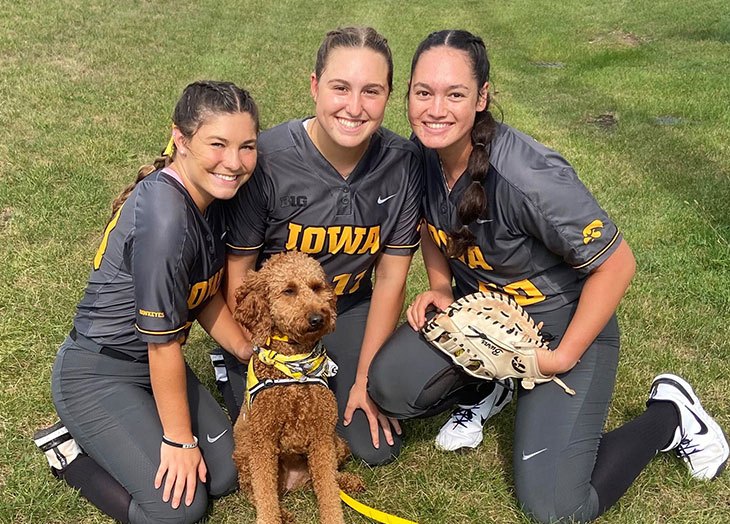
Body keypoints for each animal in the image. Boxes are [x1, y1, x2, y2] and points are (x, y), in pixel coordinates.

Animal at [233, 252, 362, 520]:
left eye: (316, 287)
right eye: (288, 290)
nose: (318, 318)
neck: (294, 372)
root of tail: (295, 483)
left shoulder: (322, 436)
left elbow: (329, 491)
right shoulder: (262, 441)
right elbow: (265, 496)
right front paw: (272, 517)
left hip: (337, 443)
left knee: (327, 478)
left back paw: (347, 480)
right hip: (244, 454)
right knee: (253, 492)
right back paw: (283, 513)